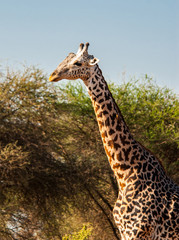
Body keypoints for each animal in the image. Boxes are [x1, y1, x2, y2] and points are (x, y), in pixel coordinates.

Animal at [49, 42, 179, 239]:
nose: (53, 75)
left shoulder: (139, 232)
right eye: (65, 58)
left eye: (78, 63)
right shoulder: (125, 232)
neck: (124, 172)